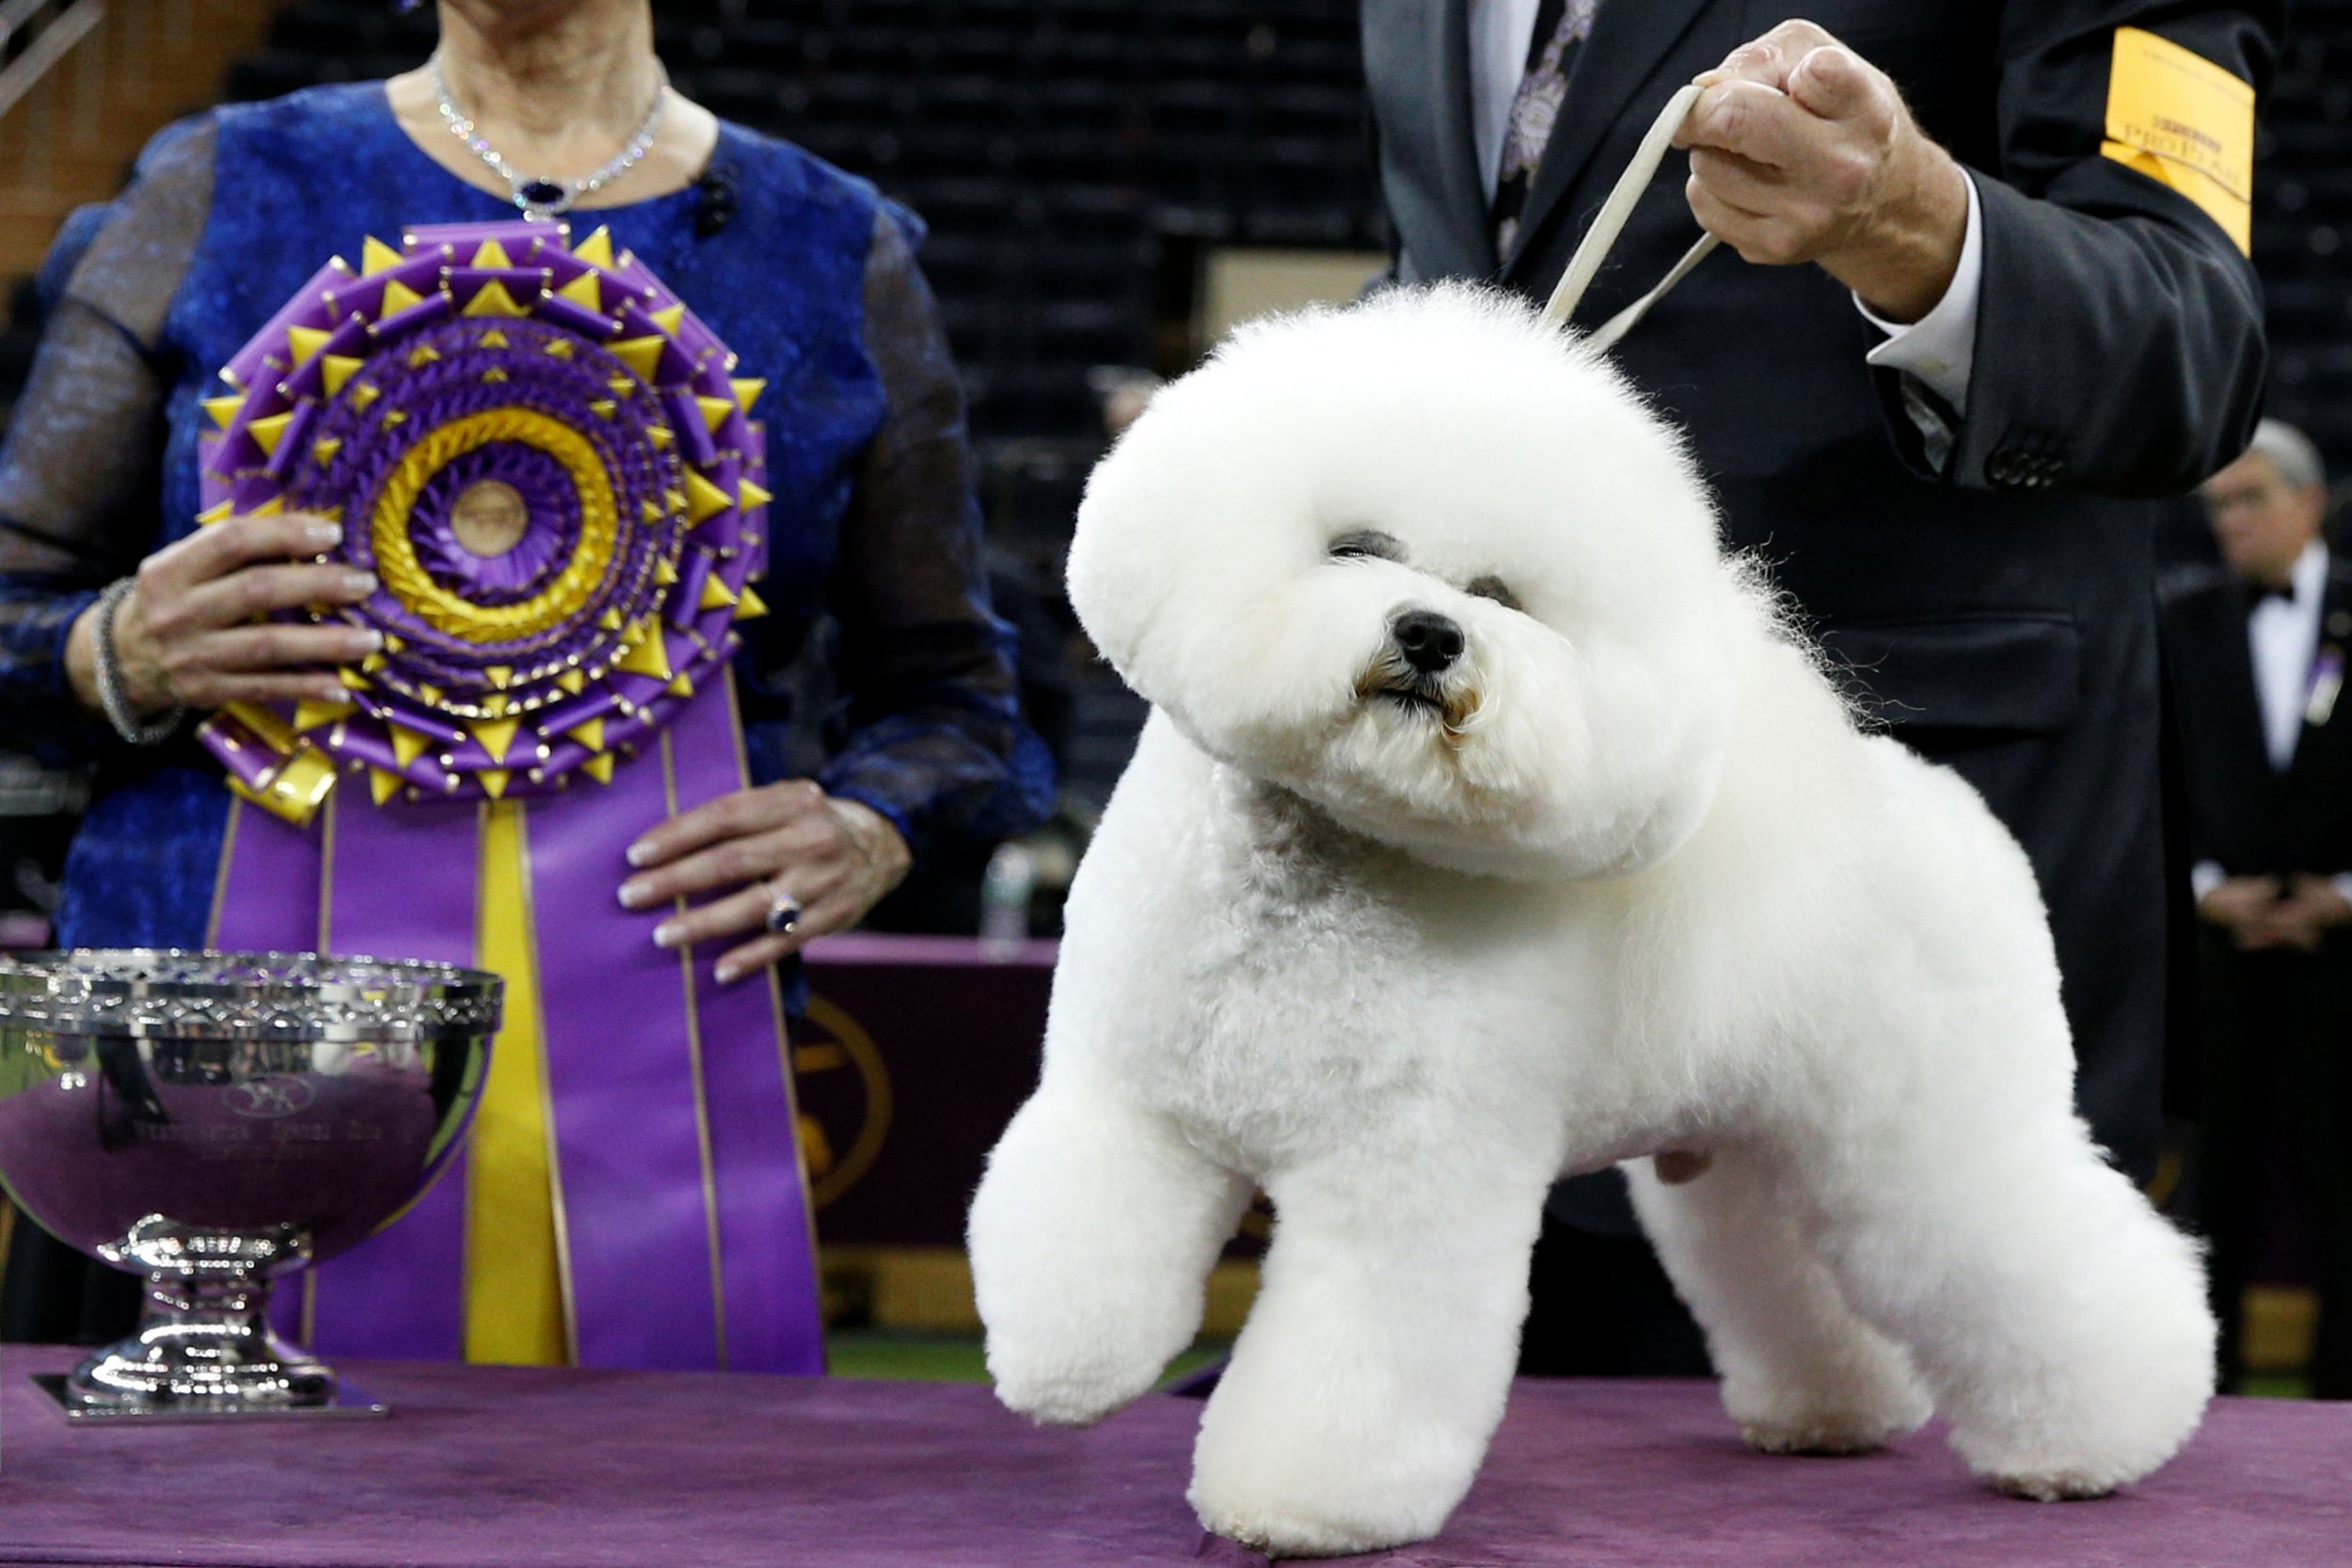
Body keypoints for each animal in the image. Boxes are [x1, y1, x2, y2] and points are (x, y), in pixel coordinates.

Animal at [964, 281, 2211, 1560]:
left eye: (1500, 597)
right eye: (1354, 548)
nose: (1429, 635)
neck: (1309, 878)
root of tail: (1944, 818)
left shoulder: (1404, 1173)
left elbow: (1358, 1358)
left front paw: (1303, 1504)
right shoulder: (1131, 1089)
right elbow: (1076, 1226)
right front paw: (1067, 1366)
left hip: (1927, 1132)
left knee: (2040, 1259)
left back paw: (2096, 1442)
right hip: (1759, 1146)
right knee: (1803, 1275)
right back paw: (1836, 1412)